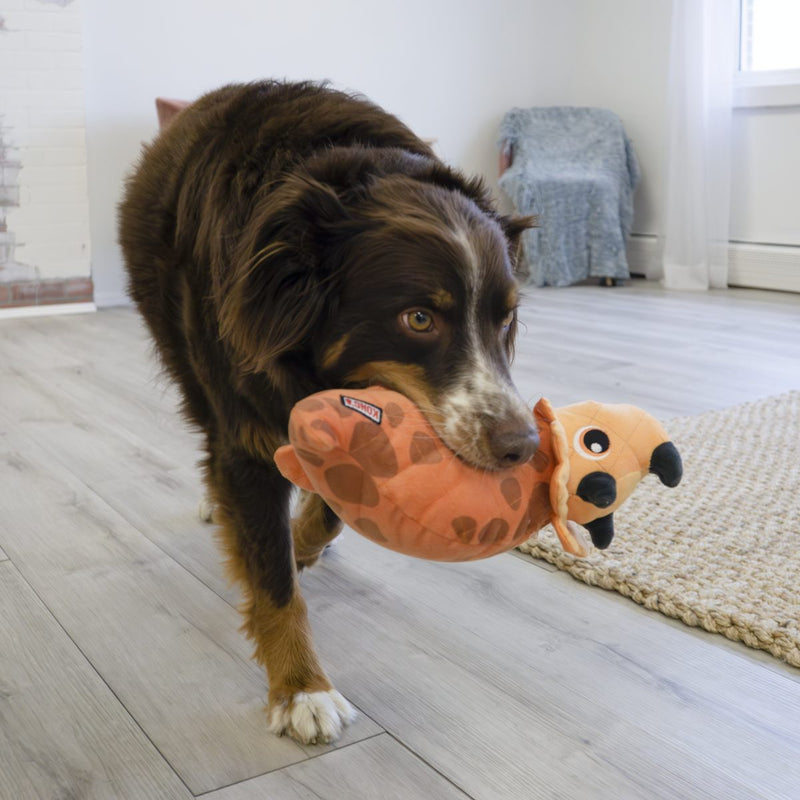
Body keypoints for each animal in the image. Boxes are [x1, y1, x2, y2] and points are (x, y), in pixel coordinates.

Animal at [120, 81, 536, 744]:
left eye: (506, 319)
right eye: (419, 318)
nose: (522, 445)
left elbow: (333, 508)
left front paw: (303, 541)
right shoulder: (244, 412)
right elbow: (271, 575)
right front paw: (302, 690)